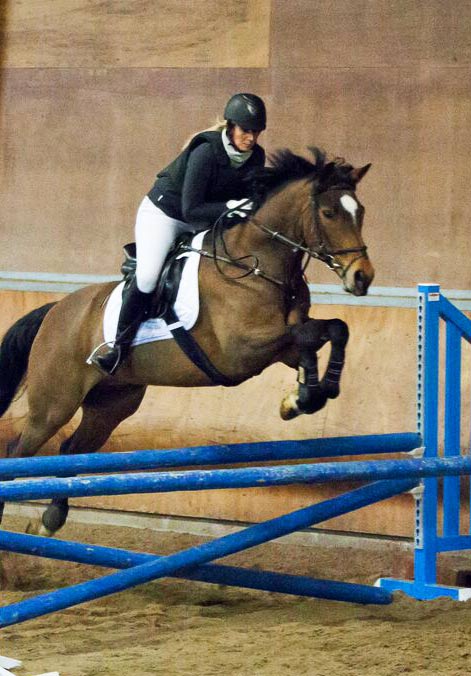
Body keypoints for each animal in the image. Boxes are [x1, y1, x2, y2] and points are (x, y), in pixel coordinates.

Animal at [0, 147, 374, 536]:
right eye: (329, 213)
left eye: (360, 211)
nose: (362, 277)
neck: (256, 263)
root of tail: (55, 311)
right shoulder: (243, 351)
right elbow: (310, 336)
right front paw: (304, 396)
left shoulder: (281, 346)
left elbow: (331, 331)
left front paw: (305, 396)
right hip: (54, 405)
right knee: (18, 452)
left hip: (112, 403)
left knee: (73, 450)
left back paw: (52, 519)